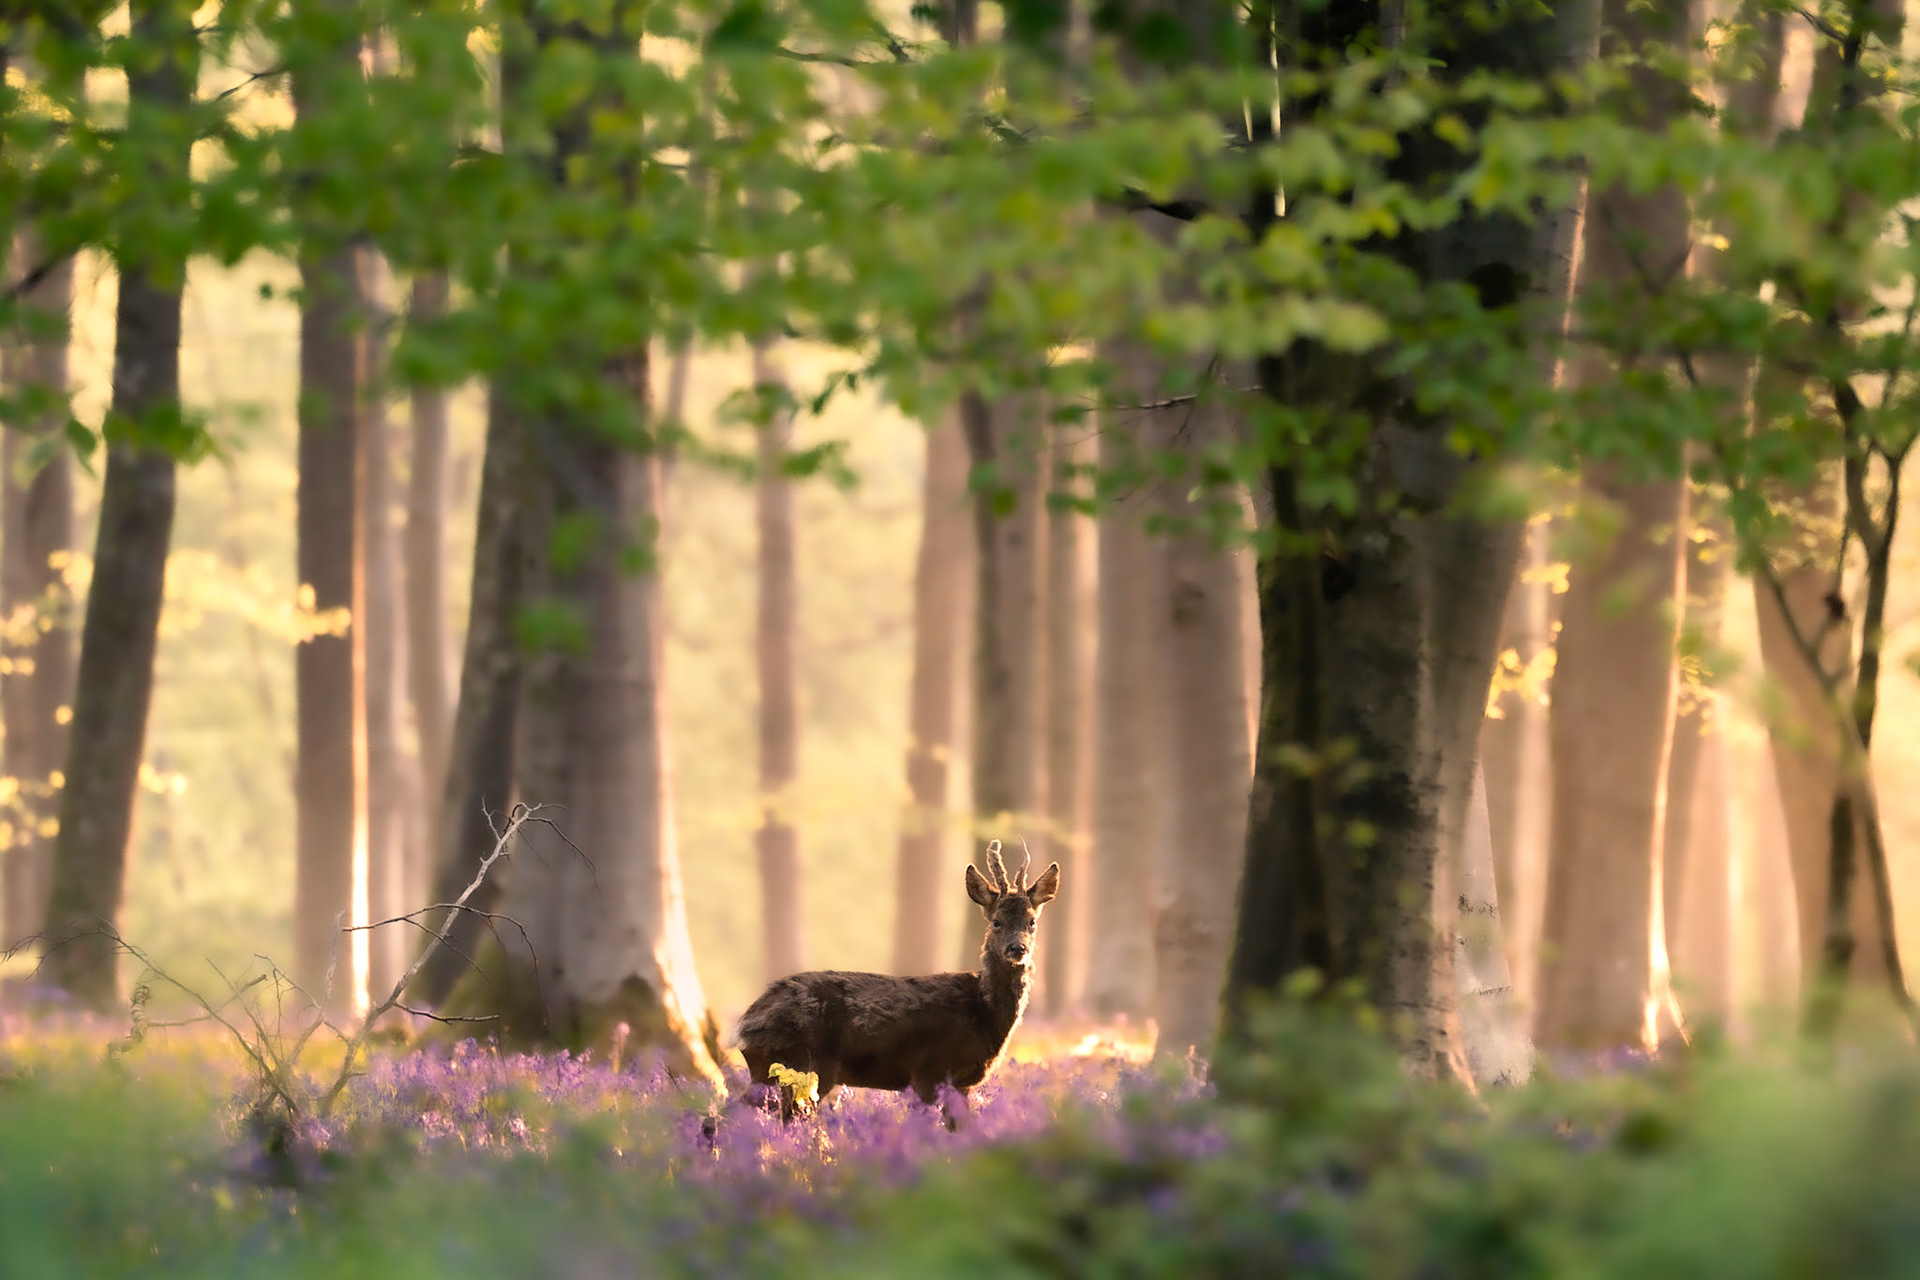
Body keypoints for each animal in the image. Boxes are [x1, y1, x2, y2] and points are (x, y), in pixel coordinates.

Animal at [730, 839, 1060, 1124]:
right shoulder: (929, 1071)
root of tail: (744, 1025)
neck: (983, 1013)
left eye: (1032, 921)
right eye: (996, 922)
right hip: (804, 1066)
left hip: (772, 1072)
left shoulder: (962, 1084)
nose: (1017, 949)